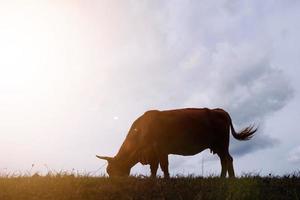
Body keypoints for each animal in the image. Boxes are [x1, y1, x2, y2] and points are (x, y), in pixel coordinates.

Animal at [96, 108, 255, 178]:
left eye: (111, 170)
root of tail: (219, 110)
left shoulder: (160, 150)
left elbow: (164, 167)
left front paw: (166, 181)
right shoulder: (153, 153)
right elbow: (154, 169)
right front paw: (152, 181)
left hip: (222, 144)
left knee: (227, 159)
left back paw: (228, 179)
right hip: (218, 146)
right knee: (225, 160)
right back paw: (224, 178)